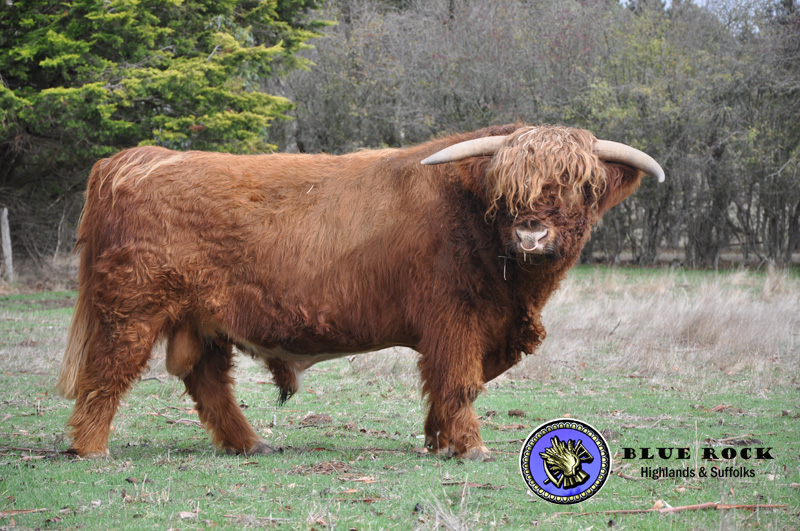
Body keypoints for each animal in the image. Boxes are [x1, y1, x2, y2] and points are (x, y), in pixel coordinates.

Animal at [57, 124, 664, 462]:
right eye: (506, 187)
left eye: (583, 186)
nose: (532, 233)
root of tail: (138, 158)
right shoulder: (455, 320)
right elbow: (460, 380)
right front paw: (470, 447)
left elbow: (445, 384)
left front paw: (438, 440)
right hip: (131, 311)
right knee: (107, 373)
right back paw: (90, 448)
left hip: (204, 322)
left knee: (207, 382)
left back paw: (249, 443)